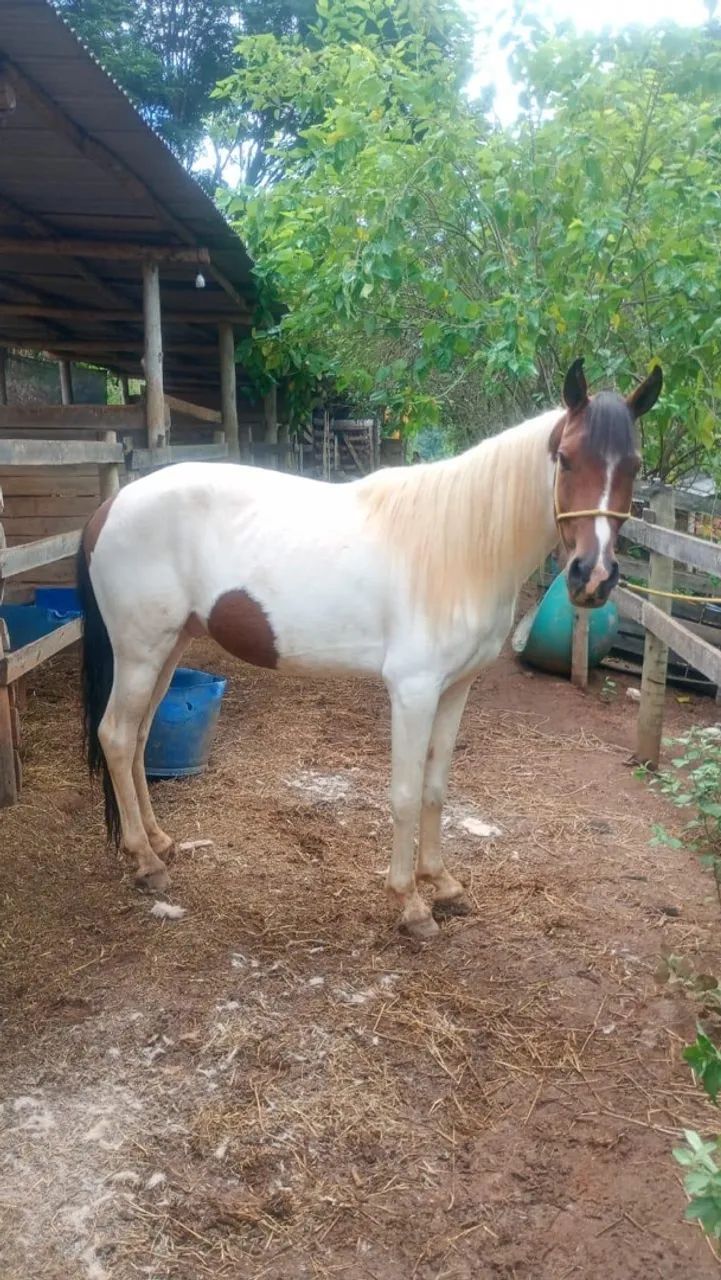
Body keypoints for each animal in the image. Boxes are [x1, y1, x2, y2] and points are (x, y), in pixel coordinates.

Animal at [77, 357, 661, 940]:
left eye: (633, 465)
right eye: (565, 458)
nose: (594, 577)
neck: (458, 550)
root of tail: (109, 507)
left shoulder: (456, 689)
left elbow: (435, 788)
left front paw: (443, 884)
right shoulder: (413, 691)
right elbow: (404, 793)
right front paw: (410, 903)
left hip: (169, 648)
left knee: (141, 736)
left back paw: (159, 842)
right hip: (140, 652)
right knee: (118, 737)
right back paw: (146, 862)